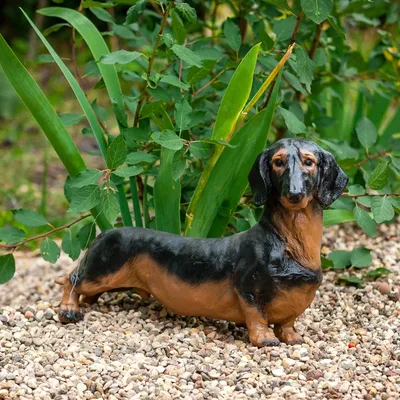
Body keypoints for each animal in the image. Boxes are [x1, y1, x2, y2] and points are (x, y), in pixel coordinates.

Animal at [55, 139, 346, 346]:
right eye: (278, 162)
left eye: (309, 162)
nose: (294, 194)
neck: (288, 242)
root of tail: (103, 233)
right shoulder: (248, 290)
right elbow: (257, 317)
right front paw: (265, 339)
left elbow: (288, 322)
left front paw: (291, 336)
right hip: (102, 272)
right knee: (72, 279)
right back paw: (69, 310)